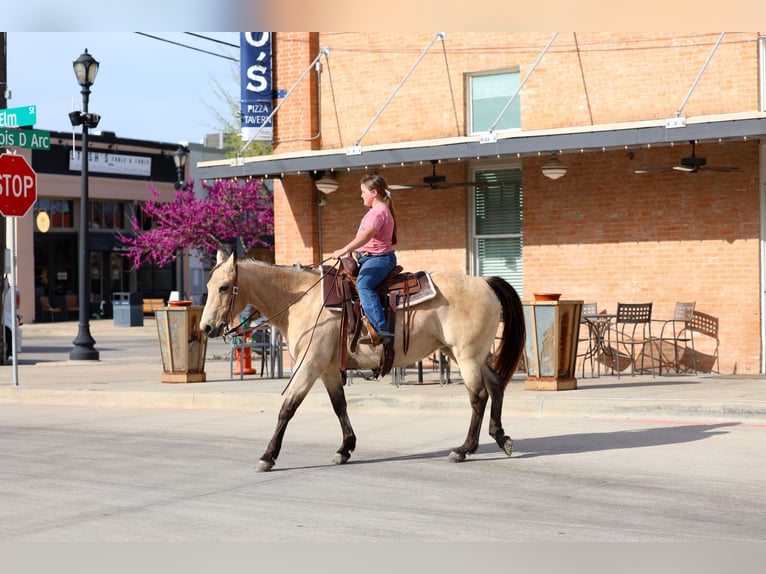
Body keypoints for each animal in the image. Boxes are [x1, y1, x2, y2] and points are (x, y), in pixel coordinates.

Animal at [200, 251, 526, 472]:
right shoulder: (329, 368)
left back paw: (464, 448)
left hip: (467, 355)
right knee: (496, 385)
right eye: (208, 286)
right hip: (464, 353)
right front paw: (345, 448)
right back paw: (501, 438)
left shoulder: (309, 365)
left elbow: (287, 408)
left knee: (478, 397)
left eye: (224, 287)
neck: (302, 300)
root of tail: (483, 282)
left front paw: (268, 456)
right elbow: (339, 406)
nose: (206, 328)